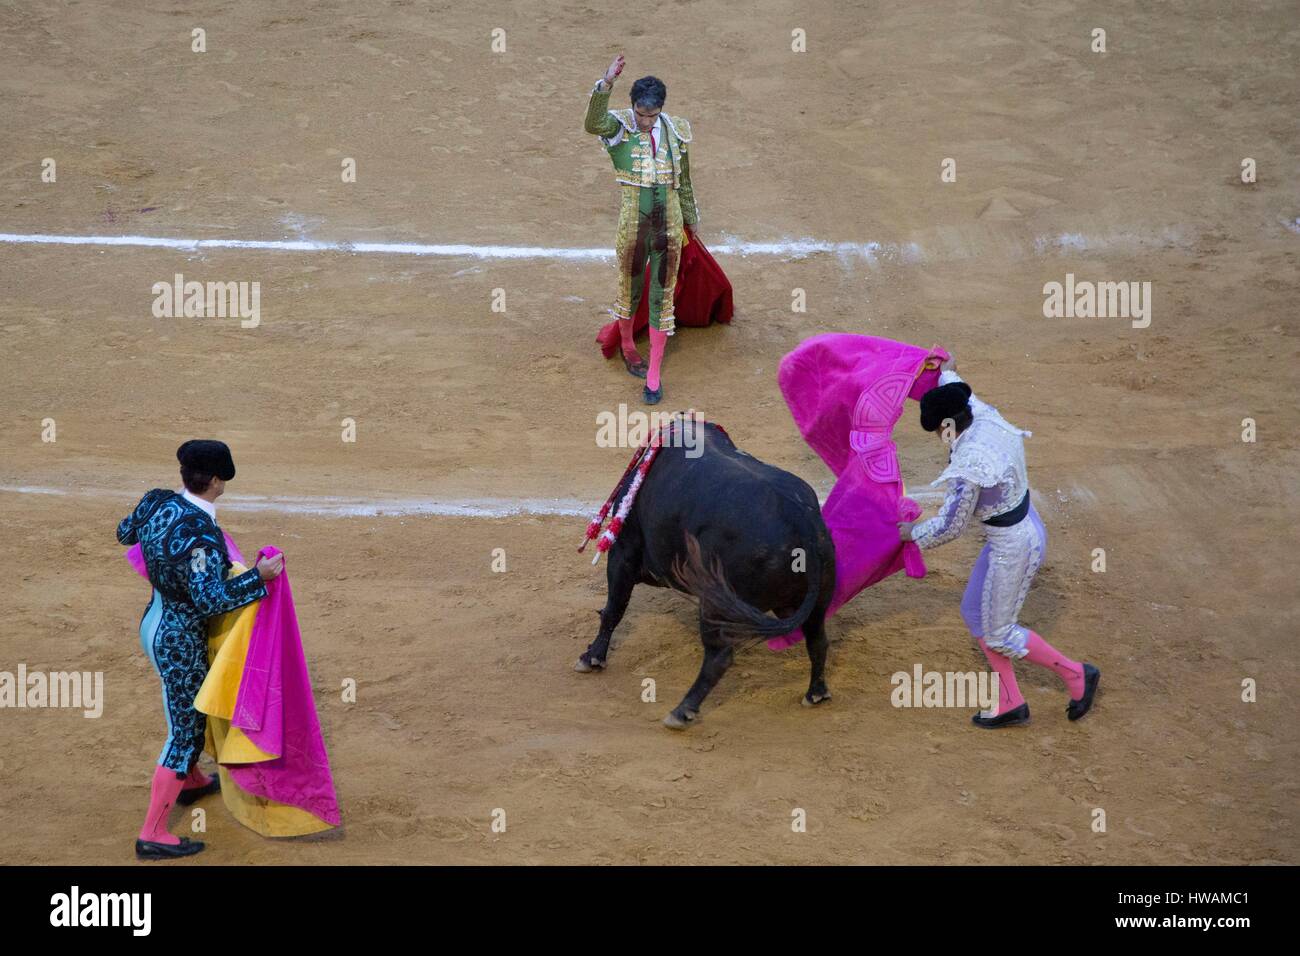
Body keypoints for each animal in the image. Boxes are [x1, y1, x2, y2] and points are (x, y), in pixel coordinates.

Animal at [577, 421, 837, 728]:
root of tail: (802, 521)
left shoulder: (622, 554)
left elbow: (613, 610)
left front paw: (592, 657)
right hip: (815, 600)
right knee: (817, 639)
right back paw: (816, 693)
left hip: (717, 603)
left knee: (718, 658)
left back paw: (681, 711)